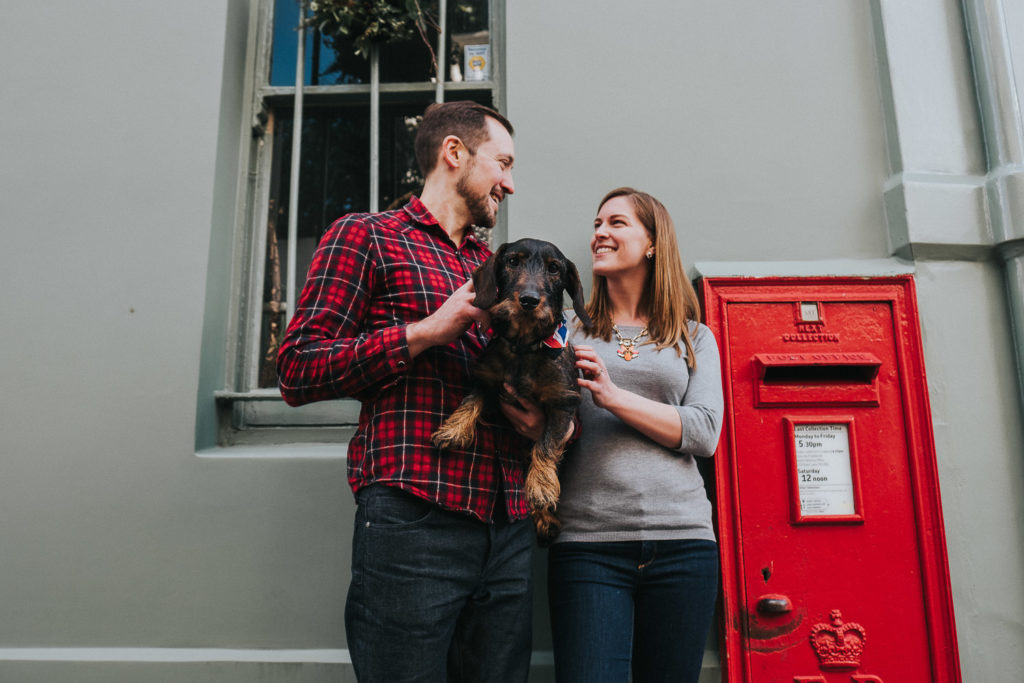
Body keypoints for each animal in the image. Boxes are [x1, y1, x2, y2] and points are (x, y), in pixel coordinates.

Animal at [430, 237, 593, 540]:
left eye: (554, 269)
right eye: (513, 261)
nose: (529, 300)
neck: (523, 348)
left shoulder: (563, 402)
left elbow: (546, 443)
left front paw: (540, 487)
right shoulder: (487, 377)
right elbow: (471, 400)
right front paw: (453, 430)